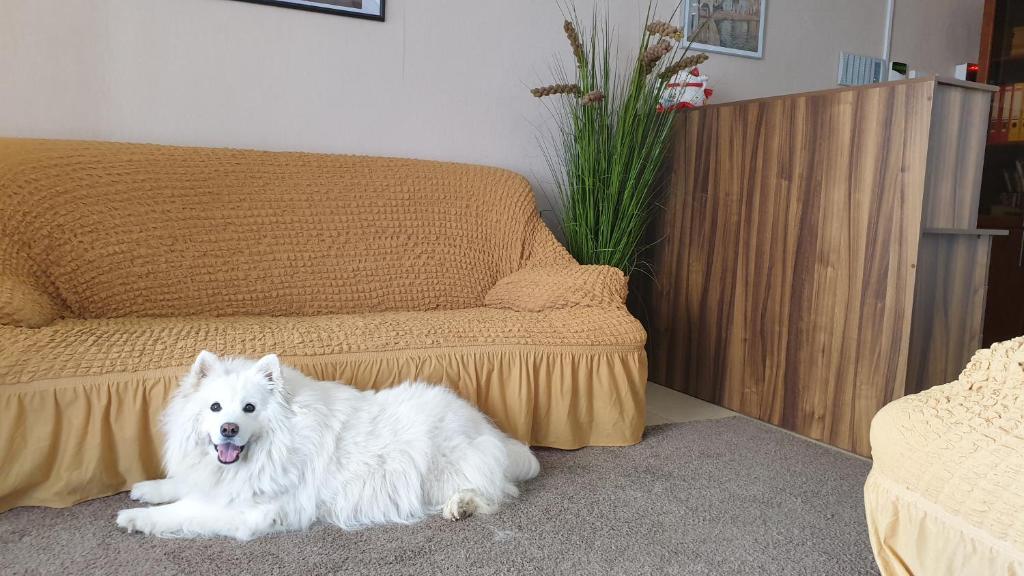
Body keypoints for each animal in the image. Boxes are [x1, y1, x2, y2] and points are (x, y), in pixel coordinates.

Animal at [116, 350, 540, 537]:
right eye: (215, 407)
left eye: (250, 408)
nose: (229, 429)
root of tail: (486, 427)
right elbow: (184, 487)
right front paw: (147, 488)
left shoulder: (249, 510)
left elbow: (183, 511)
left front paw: (133, 518)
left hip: (440, 469)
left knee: (492, 492)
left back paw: (460, 506)